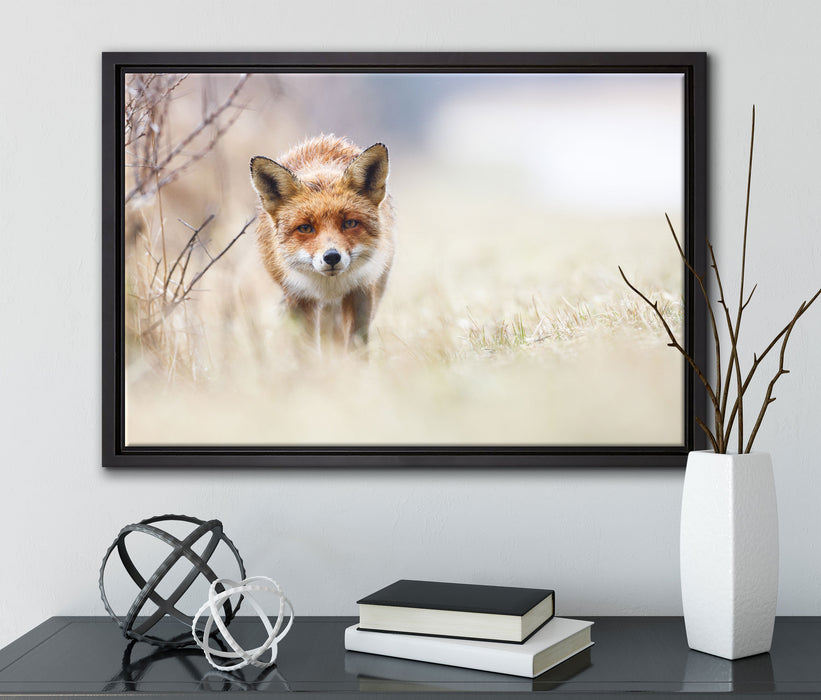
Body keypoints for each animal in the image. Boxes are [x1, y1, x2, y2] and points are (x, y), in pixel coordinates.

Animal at [250, 135, 394, 351]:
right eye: (305, 228)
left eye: (349, 223)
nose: (332, 257)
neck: (329, 287)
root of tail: (324, 139)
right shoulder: (298, 297)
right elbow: (305, 349)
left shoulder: (361, 289)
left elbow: (356, 344)